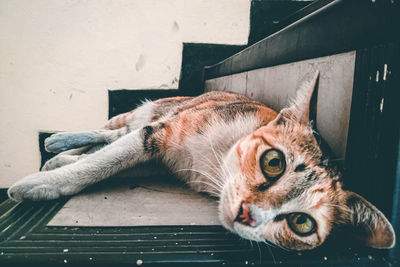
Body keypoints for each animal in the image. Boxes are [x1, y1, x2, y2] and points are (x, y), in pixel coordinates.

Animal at [7, 71, 396, 251]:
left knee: (114, 137)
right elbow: (104, 161)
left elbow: (112, 160)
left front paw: (58, 170)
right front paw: (39, 184)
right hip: (155, 109)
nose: (248, 215)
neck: (213, 165)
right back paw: (59, 144)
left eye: (302, 223)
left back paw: (60, 155)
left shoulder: (155, 158)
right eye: (274, 162)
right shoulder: (159, 133)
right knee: (113, 129)